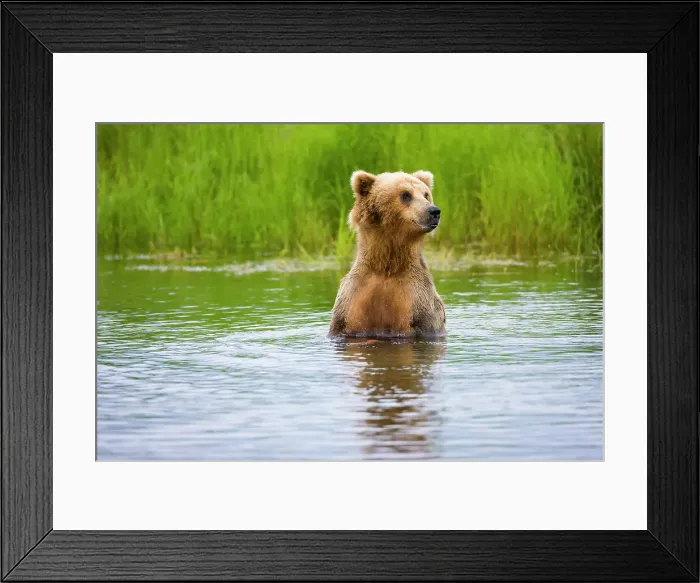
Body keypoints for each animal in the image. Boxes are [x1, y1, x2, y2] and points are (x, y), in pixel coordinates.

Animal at [329, 170, 446, 338]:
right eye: (406, 195)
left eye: (426, 194)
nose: (434, 211)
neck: (387, 264)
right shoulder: (353, 299)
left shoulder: (418, 300)